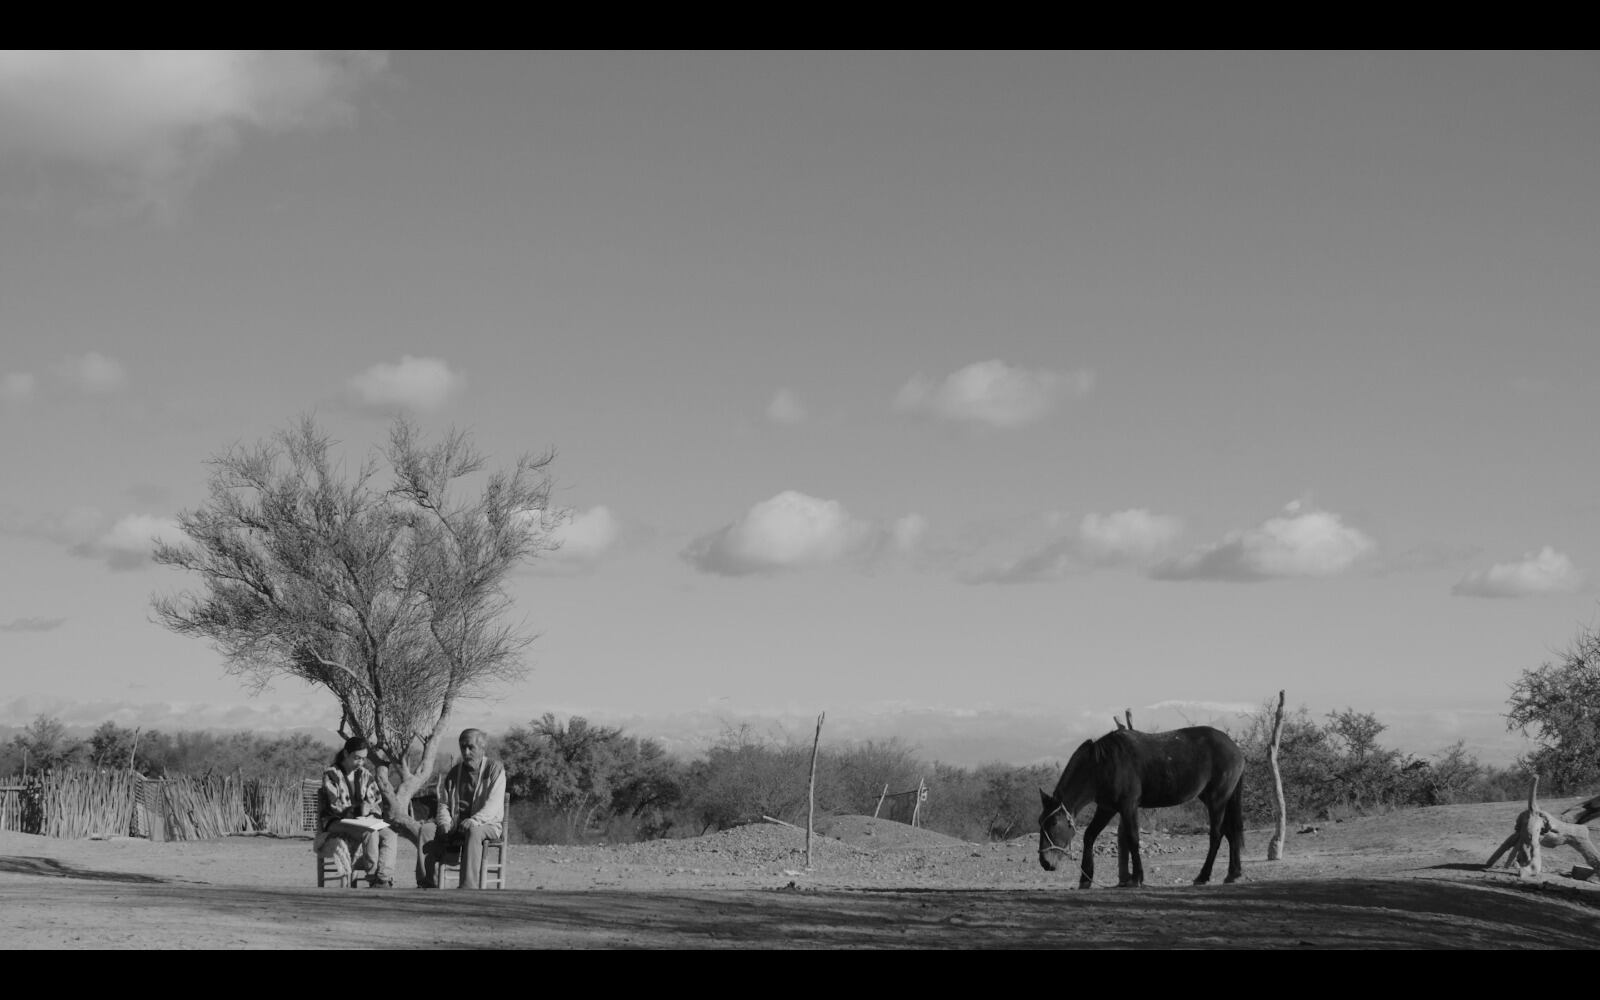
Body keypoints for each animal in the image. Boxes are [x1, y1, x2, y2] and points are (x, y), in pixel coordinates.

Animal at [1036, 720, 1248, 883]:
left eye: (1053, 823)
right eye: (1040, 822)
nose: (1045, 862)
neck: (1101, 766)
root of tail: (1235, 748)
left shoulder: (1128, 806)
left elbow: (1132, 838)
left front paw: (1137, 877)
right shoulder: (1107, 808)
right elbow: (1089, 835)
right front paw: (1086, 878)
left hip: (1217, 800)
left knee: (1216, 835)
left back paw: (1203, 876)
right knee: (1231, 832)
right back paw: (1233, 873)